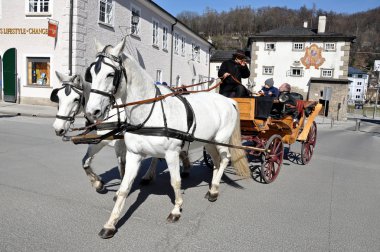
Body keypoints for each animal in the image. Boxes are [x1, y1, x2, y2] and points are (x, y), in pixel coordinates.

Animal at [85, 39, 249, 238]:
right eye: (91, 73)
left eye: (110, 74)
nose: (92, 112)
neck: (149, 111)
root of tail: (229, 101)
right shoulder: (133, 154)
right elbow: (124, 187)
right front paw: (110, 224)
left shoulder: (171, 153)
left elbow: (175, 181)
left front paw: (176, 210)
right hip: (208, 142)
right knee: (217, 161)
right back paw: (213, 187)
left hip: (221, 139)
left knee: (225, 159)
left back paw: (214, 189)